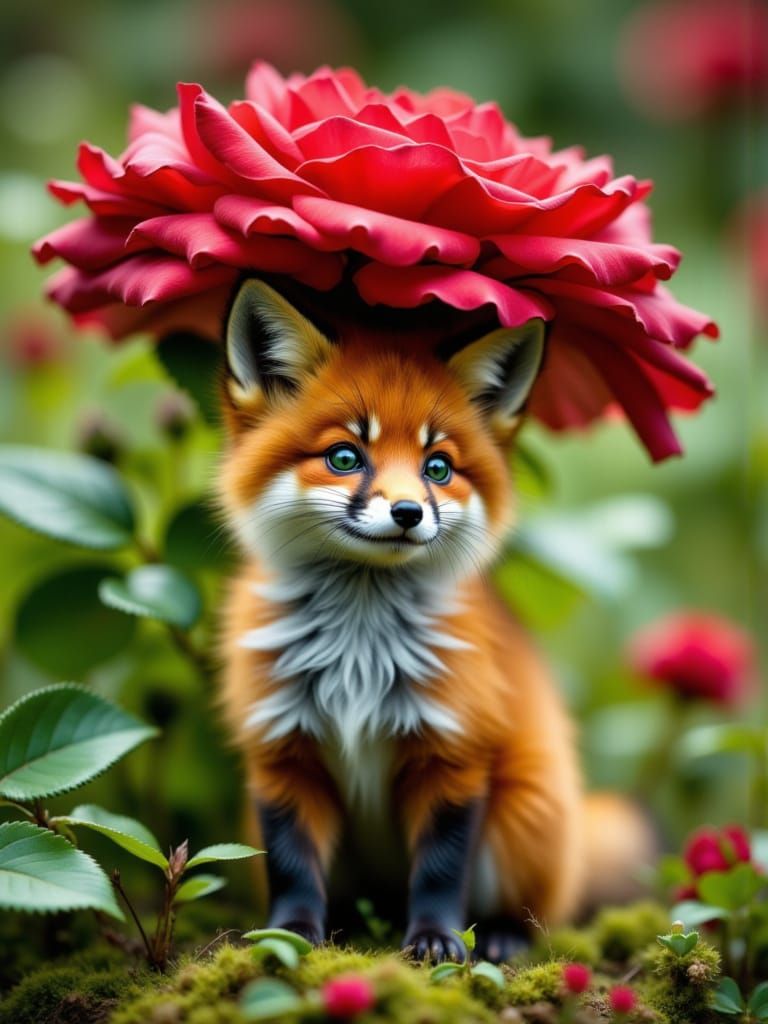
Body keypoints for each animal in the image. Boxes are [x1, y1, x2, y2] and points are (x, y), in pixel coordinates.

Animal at [217, 277, 654, 963]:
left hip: (523, 815)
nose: (407, 512)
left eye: (438, 468)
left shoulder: (454, 751)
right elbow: (292, 868)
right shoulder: (282, 751)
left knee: (538, 915)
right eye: (345, 457)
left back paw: (500, 936)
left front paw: (436, 940)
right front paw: (288, 936)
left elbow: (442, 871)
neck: (359, 660)